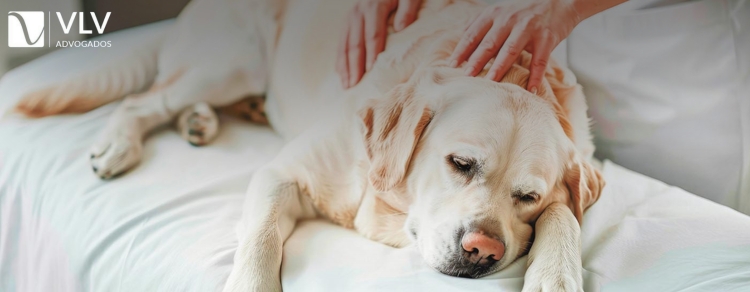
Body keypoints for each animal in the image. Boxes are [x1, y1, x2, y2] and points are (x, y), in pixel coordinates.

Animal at [11, 0, 604, 290]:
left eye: (527, 197)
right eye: (460, 163)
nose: (484, 250)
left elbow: (566, 215)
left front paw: (554, 274)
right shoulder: (283, 173)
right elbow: (261, 238)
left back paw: (203, 121)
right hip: (229, 62)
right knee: (143, 100)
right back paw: (119, 145)